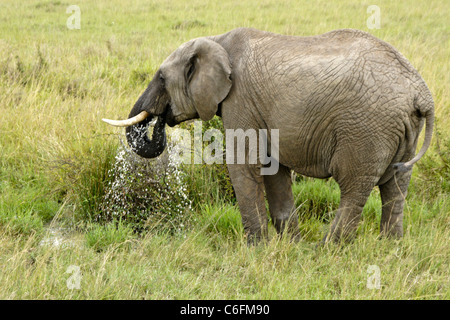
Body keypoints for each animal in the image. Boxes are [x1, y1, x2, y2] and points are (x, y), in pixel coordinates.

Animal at [103, 28, 434, 245]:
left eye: (161, 78)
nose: (160, 120)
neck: (217, 40)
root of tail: (421, 92)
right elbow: (274, 169)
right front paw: (289, 245)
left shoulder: (240, 100)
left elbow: (244, 165)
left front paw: (256, 247)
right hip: (402, 129)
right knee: (396, 185)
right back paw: (389, 247)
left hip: (366, 128)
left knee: (355, 185)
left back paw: (327, 249)